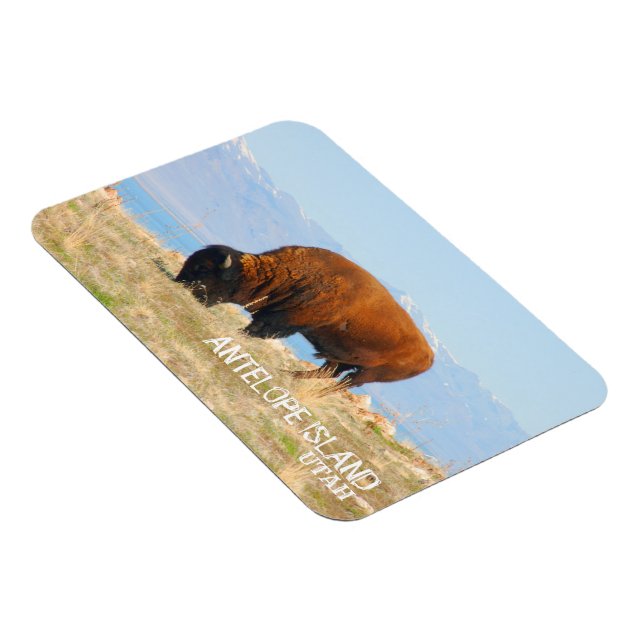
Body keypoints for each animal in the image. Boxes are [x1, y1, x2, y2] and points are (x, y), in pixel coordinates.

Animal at [175, 245, 433, 393]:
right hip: (342, 359)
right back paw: (288, 375)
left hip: (368, 373)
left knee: (345, 383)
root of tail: (429, 357)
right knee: (327, 373)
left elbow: (255, 329)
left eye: (202, 269)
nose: (179, 283)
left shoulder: (284, 321)